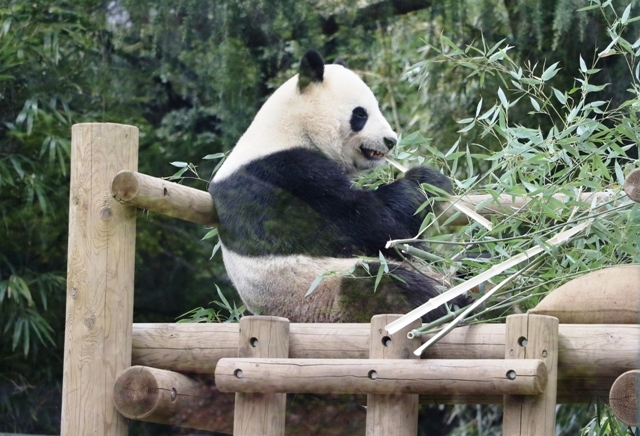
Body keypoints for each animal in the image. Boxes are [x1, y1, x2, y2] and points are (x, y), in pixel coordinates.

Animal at [208, 51, 458, 324]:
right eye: (360, 114)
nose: (390, 141)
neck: (286, 130)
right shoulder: (287, 178)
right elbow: (376, 225)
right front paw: (427, 179)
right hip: (327, 293)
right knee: (387, 281)